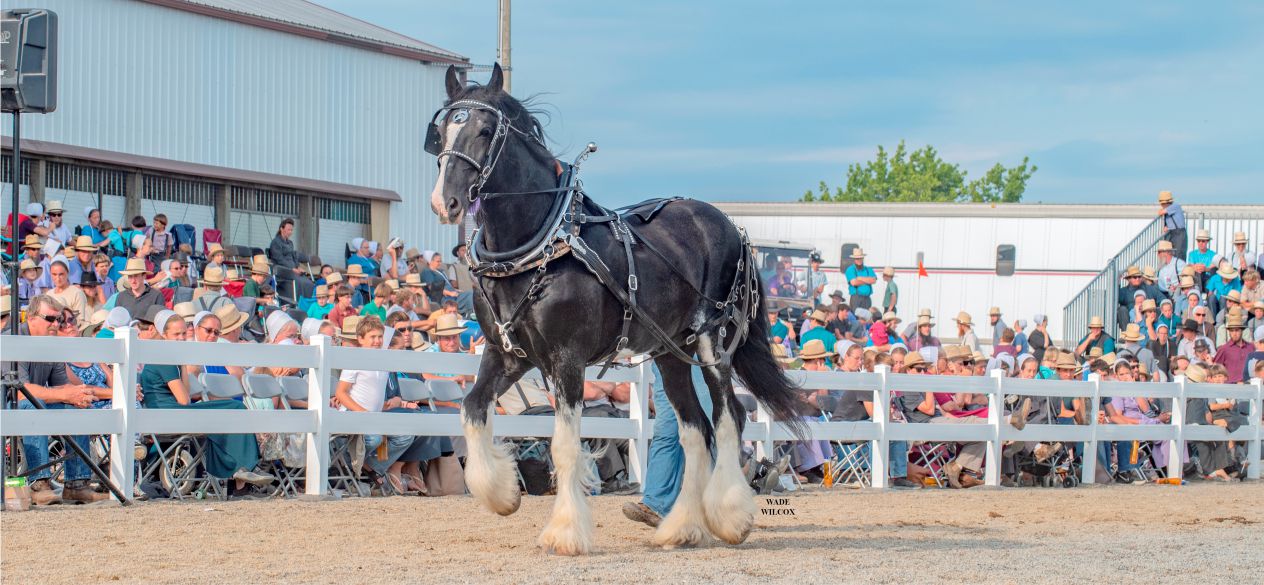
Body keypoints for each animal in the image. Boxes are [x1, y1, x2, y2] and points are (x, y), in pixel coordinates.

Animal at [426, 63, 802, 555]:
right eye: (441, 131)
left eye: (486, 130)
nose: (444, 202)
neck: (539, 246)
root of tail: (733, 228)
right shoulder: (507, 353)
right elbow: (472, 409)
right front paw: (502, 493)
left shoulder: (567, 358)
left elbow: (565, 445)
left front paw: (565, 533)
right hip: (670, 354)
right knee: (694, 429)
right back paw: (681, 527)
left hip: (712, 344)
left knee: (727, 419)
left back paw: (729, 518)